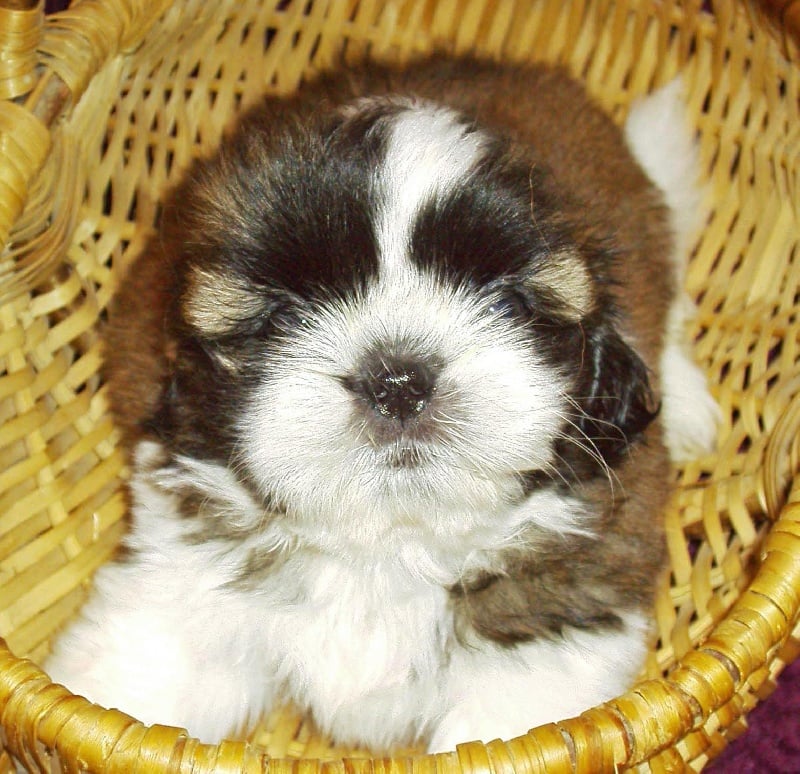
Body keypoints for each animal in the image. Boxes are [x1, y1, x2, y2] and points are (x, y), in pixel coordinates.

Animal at [45, 56, 719, 753]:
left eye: (507, 303)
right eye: (285, 316)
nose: (398, 380)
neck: (388, 544)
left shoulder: (542, 658)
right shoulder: (179, 592)